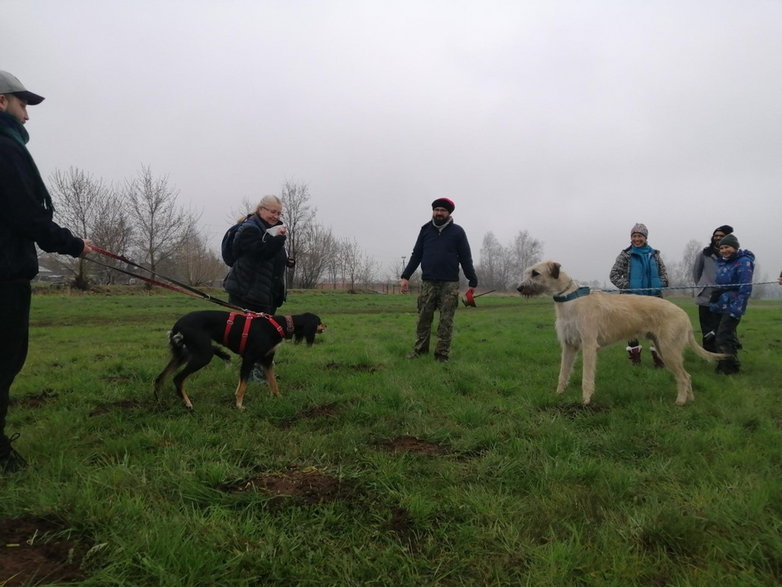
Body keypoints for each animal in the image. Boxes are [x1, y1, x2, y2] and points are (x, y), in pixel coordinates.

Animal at [153, 310, 324, 412]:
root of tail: (178, 324)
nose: (326, 326)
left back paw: (159, 403)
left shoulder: (267, 362)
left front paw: (279, 399)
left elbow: (273, 383)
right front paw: (239, 406)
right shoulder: (249, 359)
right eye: (319, 321)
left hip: (183, 354)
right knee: (177, 378)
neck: (280, 325)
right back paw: (187, 403)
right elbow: (243, 386)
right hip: (203, 355)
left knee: (160, 378)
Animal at [520, 260, 728, 404]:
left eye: (536, 273)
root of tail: (684, 315)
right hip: (663, 349)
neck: (570, 299)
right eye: (528, 272)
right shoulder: (569, 346)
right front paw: (558, 394)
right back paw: (689, 399)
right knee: (686, 376)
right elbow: (563, 374)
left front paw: (585, 401)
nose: (519, 287)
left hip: (669, 351)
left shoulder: (589, 345)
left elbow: (587, 377)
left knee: (684, 376)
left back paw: (680, 402)